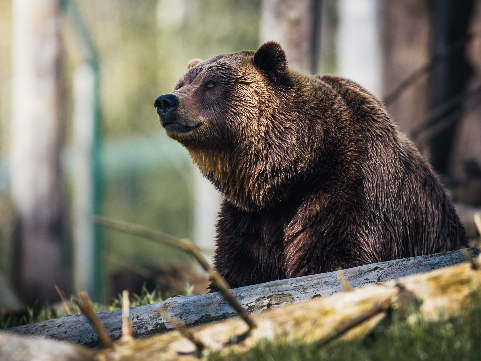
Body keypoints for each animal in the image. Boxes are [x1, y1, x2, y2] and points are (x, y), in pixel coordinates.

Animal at [156, 41, 466, 290]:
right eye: (182, 84)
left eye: (210, 84)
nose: (166, 101)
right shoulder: (251, 218)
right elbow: (240, 267)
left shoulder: (350, 189)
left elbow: (334, 256)